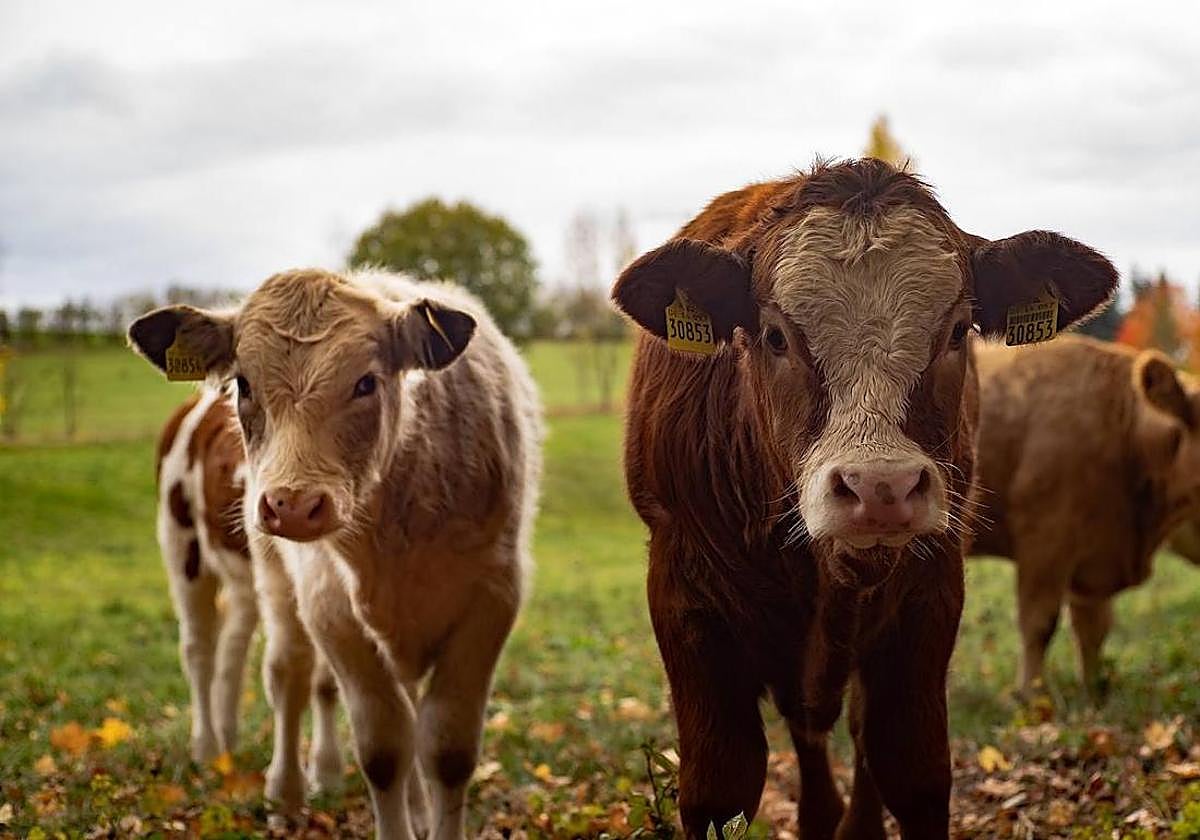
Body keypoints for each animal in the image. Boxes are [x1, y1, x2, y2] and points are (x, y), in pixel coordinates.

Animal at [131, 269, 541, 840]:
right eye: (244, 384)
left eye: (366, 382)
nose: (292, 505)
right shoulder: (330, 606)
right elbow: (384, 748)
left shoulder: (492, 598)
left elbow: (446, 748)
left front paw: (421, 811)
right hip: (194, 552)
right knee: (243, 660)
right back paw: (238, 765)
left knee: (247, 649)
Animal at [611, 158, 1117, 838]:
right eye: (775, 336)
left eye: (956, 332)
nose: (881, 487)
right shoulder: (684, 597)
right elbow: (721, 787)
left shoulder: (929, 596)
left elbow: (913, 770)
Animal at [971, 335, 1200, 698]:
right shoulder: (1045, 540)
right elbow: (1039, 623)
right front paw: (1031, 695)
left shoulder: (1095, 557)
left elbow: (1093, 629)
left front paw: (1094, 692)